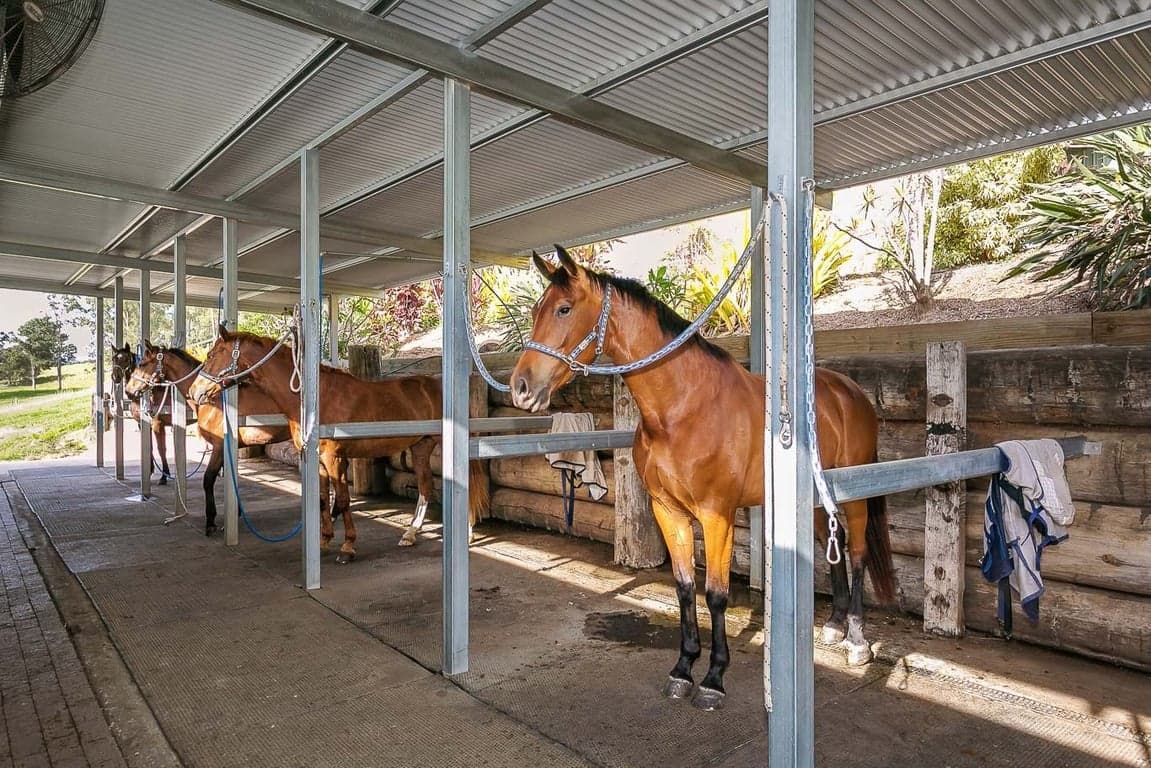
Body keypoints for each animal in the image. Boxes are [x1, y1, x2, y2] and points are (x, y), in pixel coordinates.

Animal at [110, 344, 172, 485]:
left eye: (125, 358)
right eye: (113, 358)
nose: (115, 377)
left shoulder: (157, 424)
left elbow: (162, 450)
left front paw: (164, 476)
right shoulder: (142, 423)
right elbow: (149, 447)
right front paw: (150, 470)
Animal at [124, 342, 293, 536]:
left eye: (142, 363)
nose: (128, 391)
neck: (213, 398)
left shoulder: (219, 447)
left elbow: (208, 480)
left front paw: (210, 520)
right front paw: (235, 512)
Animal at [186, 327, 490, 562]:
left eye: (212, 355)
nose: (193, 392)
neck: (316, 400)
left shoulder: (334, 458)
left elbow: (342, 500)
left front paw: (347, 547)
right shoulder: (319, 459)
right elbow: (323, 498)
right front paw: (324, 541)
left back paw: (467, 532)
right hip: (420, 447)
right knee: (425, 487)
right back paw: (410, 534)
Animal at [509, 246, 896, 711]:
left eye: (564, 309)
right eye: (536, 310)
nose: (520, 387)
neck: (683, 408)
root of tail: (850, 392)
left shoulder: (716, 516)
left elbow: (715, 594)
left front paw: (713, 679)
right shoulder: (668, 511)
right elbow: (683, 587)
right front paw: (683, 668)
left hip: (854, 500)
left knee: (856, 556)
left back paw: (856, 640)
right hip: (819, 502)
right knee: (831, 550)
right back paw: (835, 626)